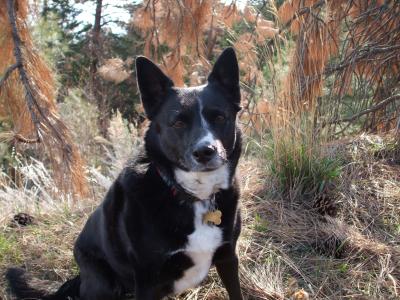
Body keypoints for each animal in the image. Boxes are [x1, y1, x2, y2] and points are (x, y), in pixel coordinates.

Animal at [7, 48, 244, 298]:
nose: (205, 152)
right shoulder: (147, 279)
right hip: (103, 283)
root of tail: (80, 278)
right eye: (178, 123)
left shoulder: (228, 257)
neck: (193, 196)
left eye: (220, 117)